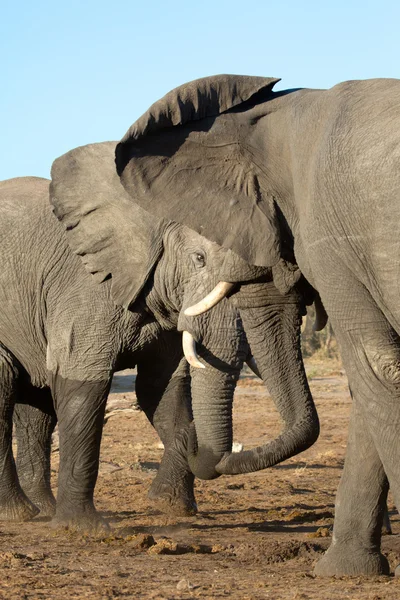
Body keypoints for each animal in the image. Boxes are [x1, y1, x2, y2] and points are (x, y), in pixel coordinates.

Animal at [0, 143, 318, 532]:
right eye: (199, 258)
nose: (209, 448)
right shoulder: (85, 288)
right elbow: (82, 385)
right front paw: (84, 529)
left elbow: (161, 389)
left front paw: (172, 507)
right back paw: (19, 513)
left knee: (37, 407)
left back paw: (41, 510)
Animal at [115, 75, 400, 576]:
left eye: (203, 255)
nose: (205, 451)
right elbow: (370, 384)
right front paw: (344, 572)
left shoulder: (331, 238)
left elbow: (375, 366)